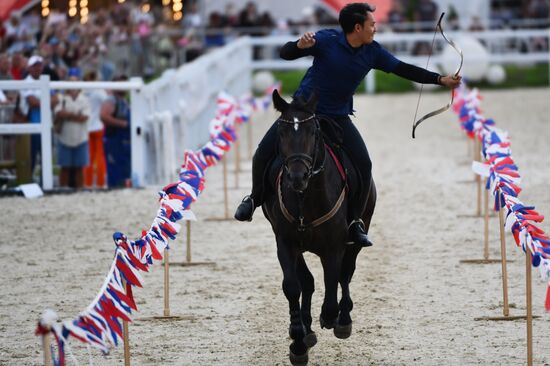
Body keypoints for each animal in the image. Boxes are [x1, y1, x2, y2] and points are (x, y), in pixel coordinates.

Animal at [260, 89, 378, 366]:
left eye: (314, 132)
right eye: (281, 132)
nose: (297, 176)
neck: (306, 198)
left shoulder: (334, 247)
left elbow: (334, 281)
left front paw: (332, 317)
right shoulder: (286, 243)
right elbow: (294, 286)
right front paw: (298, 342)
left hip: (359, 232)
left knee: (346, 272)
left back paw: (342, 319)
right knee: (308, 281)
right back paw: (308, 328)